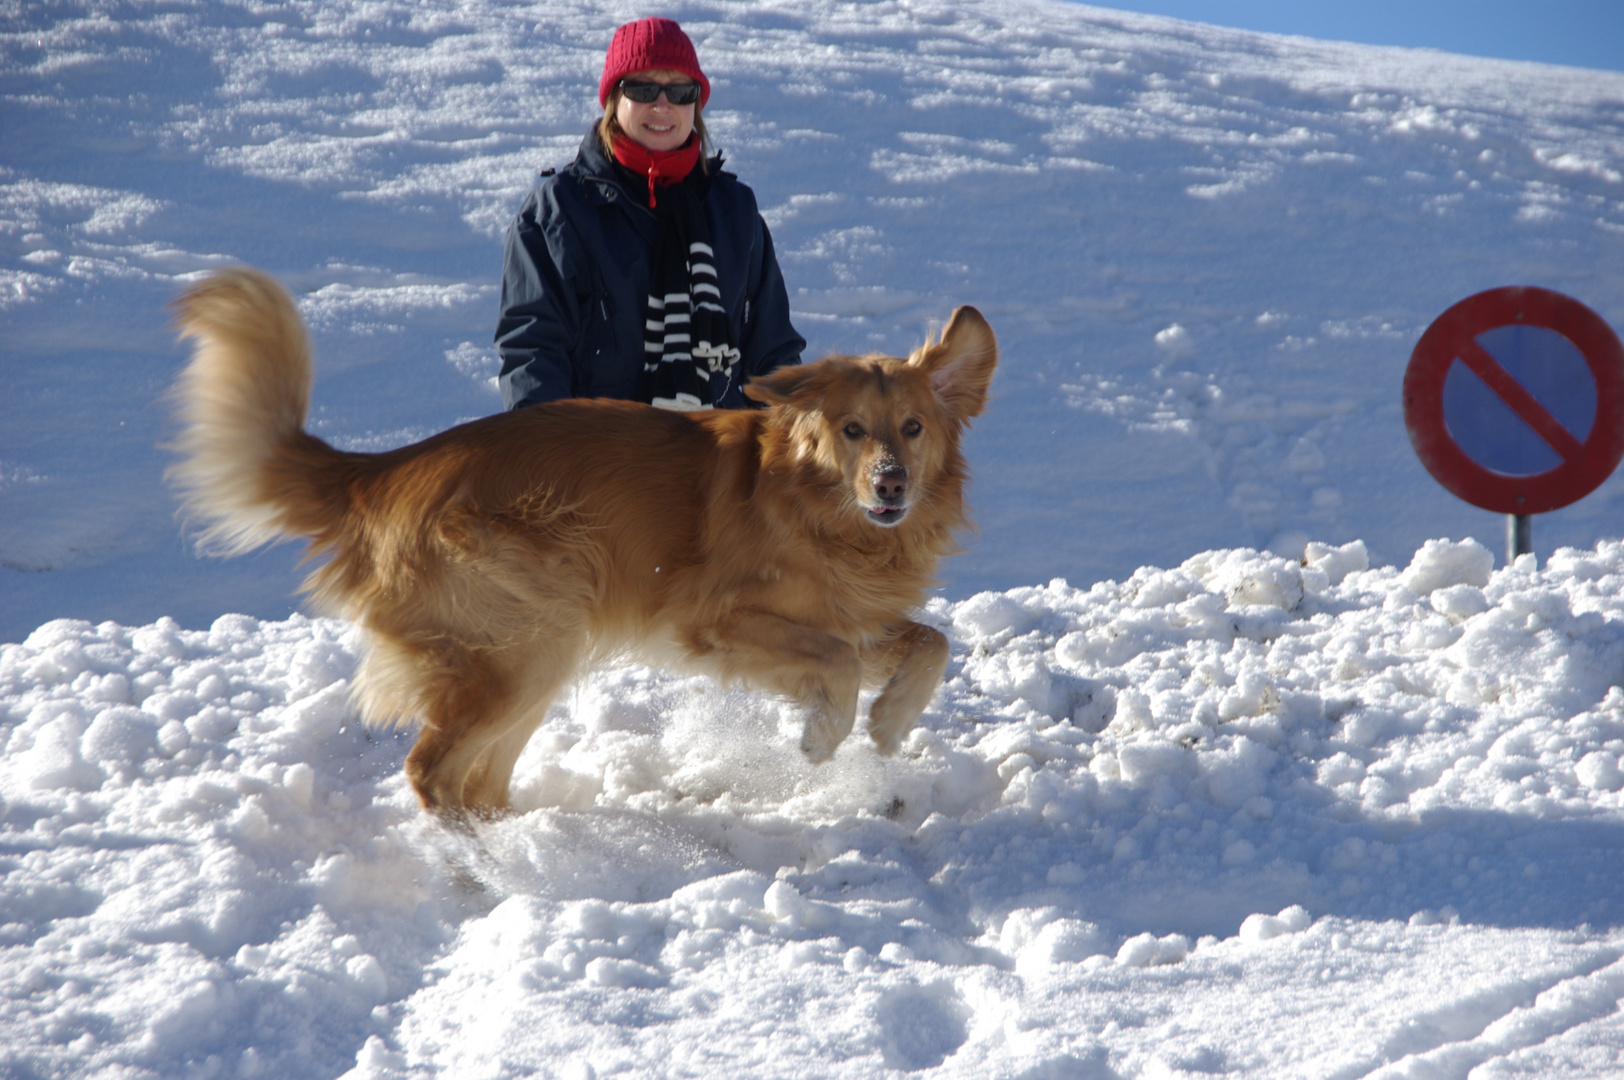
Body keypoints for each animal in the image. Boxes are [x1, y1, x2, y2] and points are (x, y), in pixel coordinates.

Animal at [171, 269, 993, 818]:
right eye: (852, 429)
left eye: (912, 428)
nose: (891, 485)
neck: (821, 510)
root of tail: (385, 469)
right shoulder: (715, 621)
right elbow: (840, 666)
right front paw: (825, 739)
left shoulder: (850, 613)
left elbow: (930, 642)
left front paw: (890, 722)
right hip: (529, 636)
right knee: (431, 771)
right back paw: (484, 873)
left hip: (537, 650)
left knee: (477, 780)